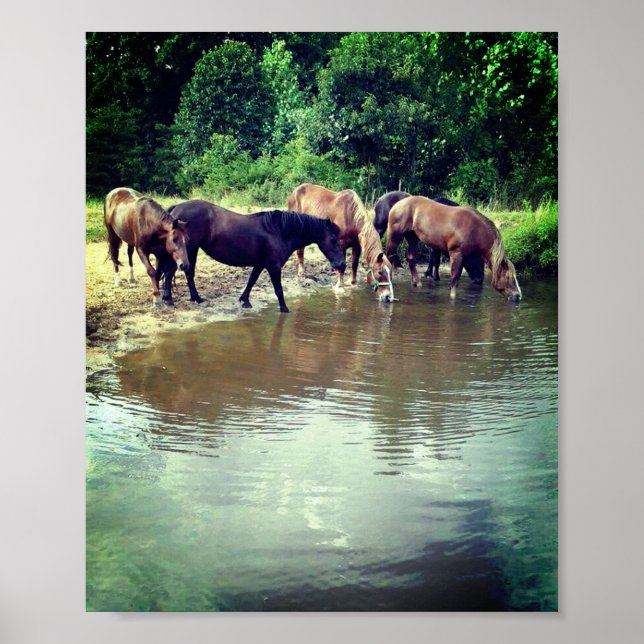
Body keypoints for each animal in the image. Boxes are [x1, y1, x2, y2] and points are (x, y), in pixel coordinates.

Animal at [163, 200, 346, 313]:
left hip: (192, 250)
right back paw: (168, 299)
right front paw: (284, 309)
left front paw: (244, 300)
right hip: (187, 250)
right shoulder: (274, 267)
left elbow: (251, 280)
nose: (342, 264)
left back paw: (196, 298)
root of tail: (177, 209)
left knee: (188, 273)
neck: (279, 231)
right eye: (333, 239)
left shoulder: (260, 264)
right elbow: (278, 289)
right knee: (171, 272)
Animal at [385, 196, 522, 302]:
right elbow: (455, 278)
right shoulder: (456, 253)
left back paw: (417, 283)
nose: (518, 296)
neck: (474, 229)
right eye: (509, 277)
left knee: (411, 259)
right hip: (395, 236)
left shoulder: (463, 256)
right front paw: (452, 297)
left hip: (412, 238)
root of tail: (398, 204)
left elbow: (457, 277)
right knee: (388, 256)